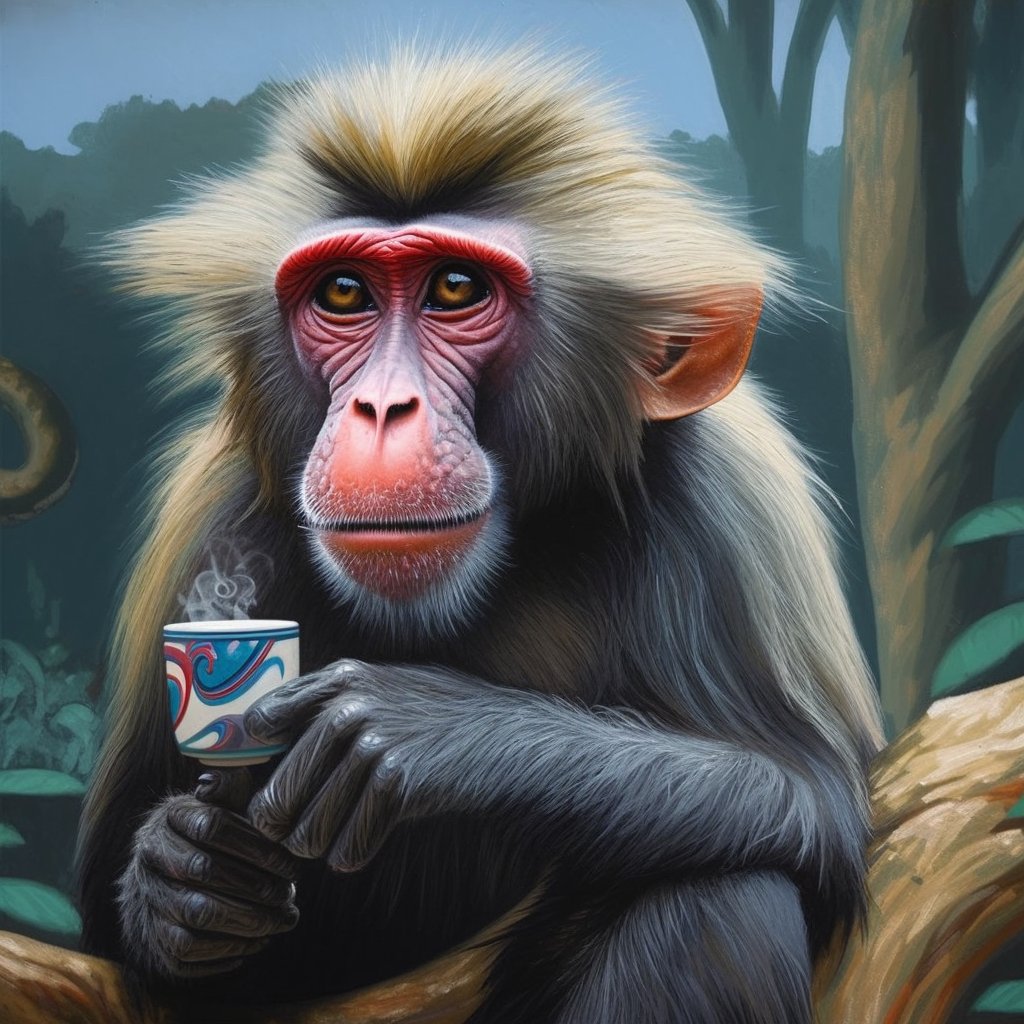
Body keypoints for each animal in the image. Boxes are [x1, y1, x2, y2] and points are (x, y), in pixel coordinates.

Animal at [77, 45, 884, 1024]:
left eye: (456, 289)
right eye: (343, 293)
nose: (382, 407)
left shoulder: (732, 504)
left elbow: (813, 796)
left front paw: (426, 729)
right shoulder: (206, 516)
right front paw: (180, 879)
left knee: (719, 893)